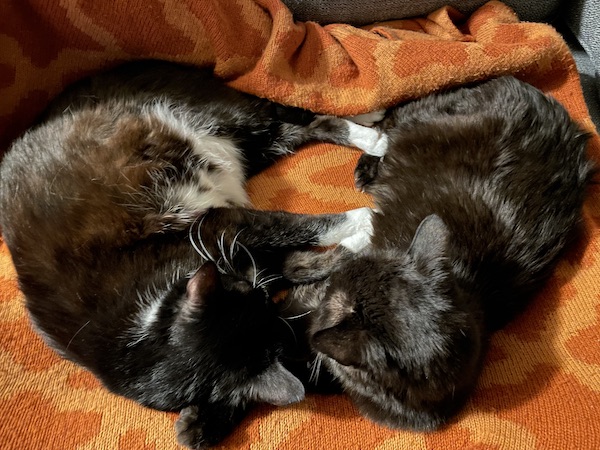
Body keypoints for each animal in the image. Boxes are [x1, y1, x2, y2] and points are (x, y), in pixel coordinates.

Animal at [0, 60, 384, 450]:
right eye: (252, 295)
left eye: (242, 287)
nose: (250, 280)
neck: (148, 324)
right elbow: (298, 262)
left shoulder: (217, 225)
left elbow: (294, 226)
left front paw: (365, 220)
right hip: (253, 147)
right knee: (302, 127)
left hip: (220, 116)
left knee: (287, 110)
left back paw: (374, 131)